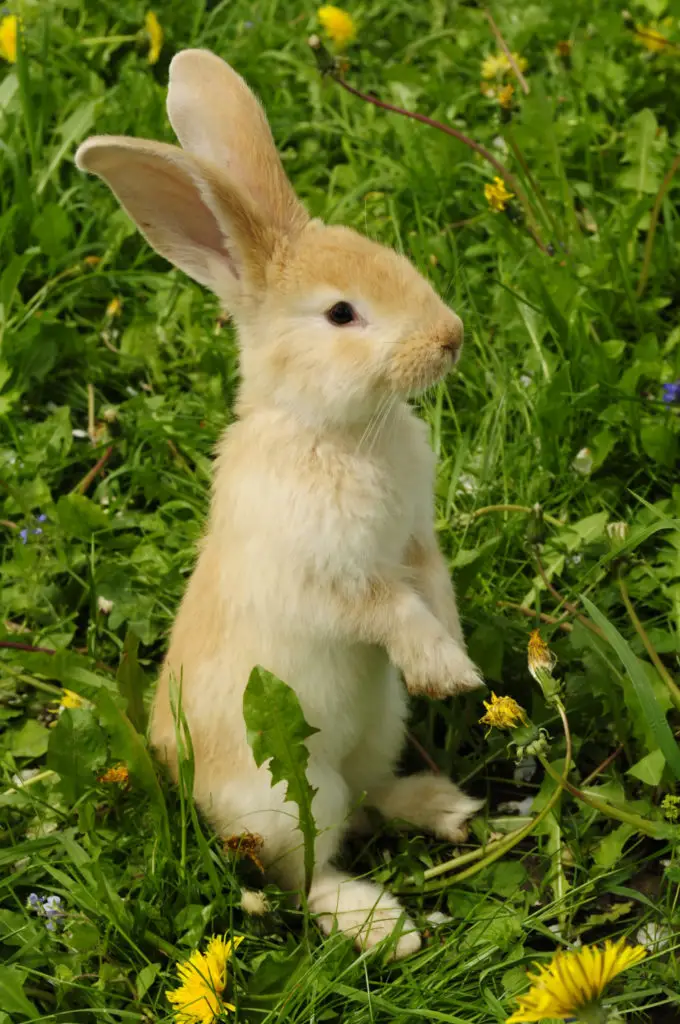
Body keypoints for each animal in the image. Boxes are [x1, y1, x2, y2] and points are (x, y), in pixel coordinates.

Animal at [75, 48, 483, 958]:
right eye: (340, 314)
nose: (450, 338)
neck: (332, 432)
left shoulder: (416, 541)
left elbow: (432, 587)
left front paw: (457, 659)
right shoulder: (330, 575)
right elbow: (389, 610)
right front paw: (449, 671)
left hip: (376, 730)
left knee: (370, 801)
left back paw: (448, 809)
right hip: (291, 789)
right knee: (307, 872)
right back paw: (382, 924)